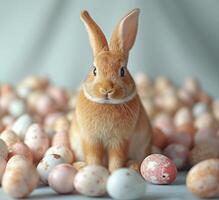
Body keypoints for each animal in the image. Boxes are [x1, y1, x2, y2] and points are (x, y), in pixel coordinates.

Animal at [70, 8, 152, 172]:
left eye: (122, 71)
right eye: (94, 70)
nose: (106, 89)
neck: (106, 104)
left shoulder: (120, 140)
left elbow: (116, 159)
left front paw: (114, 173)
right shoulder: (91, 139)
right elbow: (93, 157)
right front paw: (93, 170)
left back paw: (133, 165)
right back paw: (79, 166)